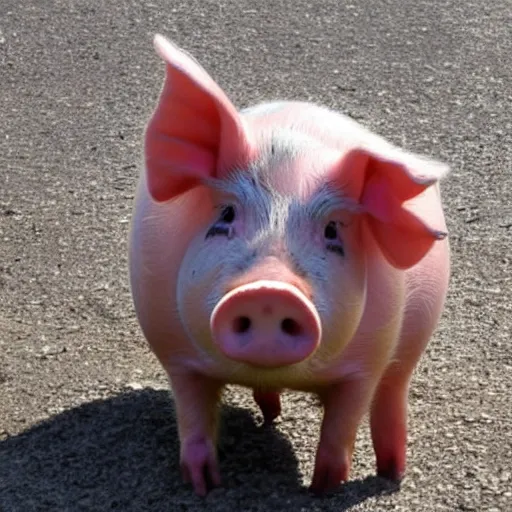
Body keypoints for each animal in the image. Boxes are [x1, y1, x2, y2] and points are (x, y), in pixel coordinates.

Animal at [128, 35, 448, 496]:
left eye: (333, 231)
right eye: (226, 215)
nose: (268, 291)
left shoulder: (367, 363)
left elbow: (342, 427)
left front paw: (323, 489)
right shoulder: (174, 352)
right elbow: (192, 416)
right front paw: (203, 486)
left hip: (407, 353)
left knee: (391, 397)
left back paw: (393, 474)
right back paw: (271, 416)